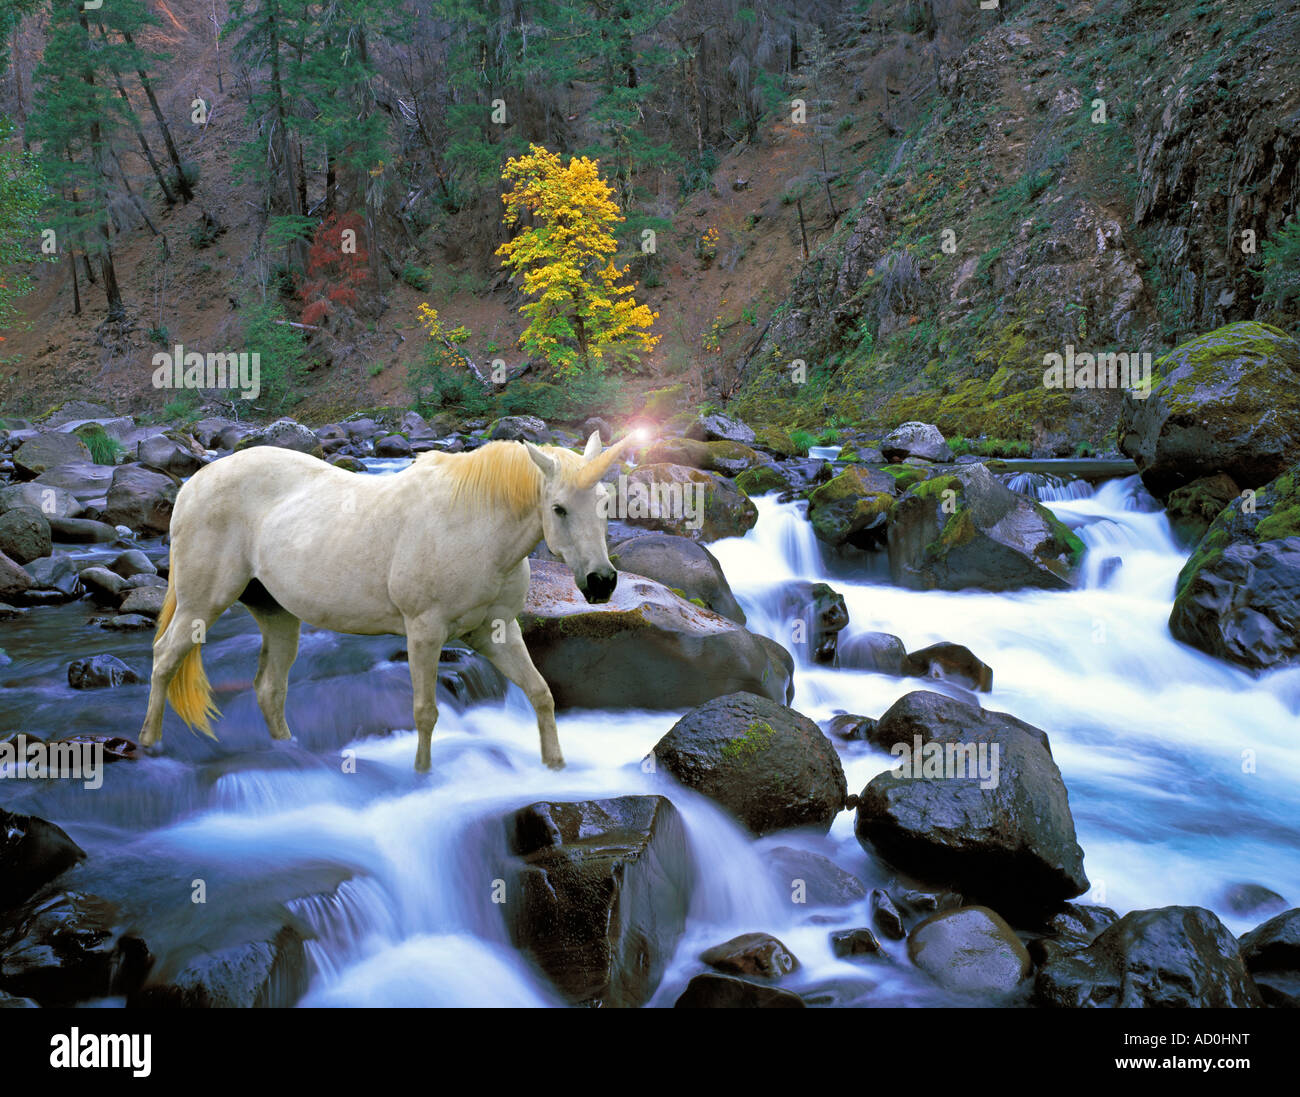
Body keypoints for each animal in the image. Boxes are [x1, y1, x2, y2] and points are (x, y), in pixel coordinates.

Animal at [138, 430, 640, 771]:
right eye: (558, 509)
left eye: (604, 503)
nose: (600, 583)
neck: (476, 525)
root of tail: (194, 483)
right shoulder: (424, 632)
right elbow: (425, 712)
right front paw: (422, 777)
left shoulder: (496, 632)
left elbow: (539, 693)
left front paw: (556, 768)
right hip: (201, 605)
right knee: (164, 658)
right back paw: (151, 745)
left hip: (277, 614)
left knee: (269, 688)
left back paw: (291, 753)